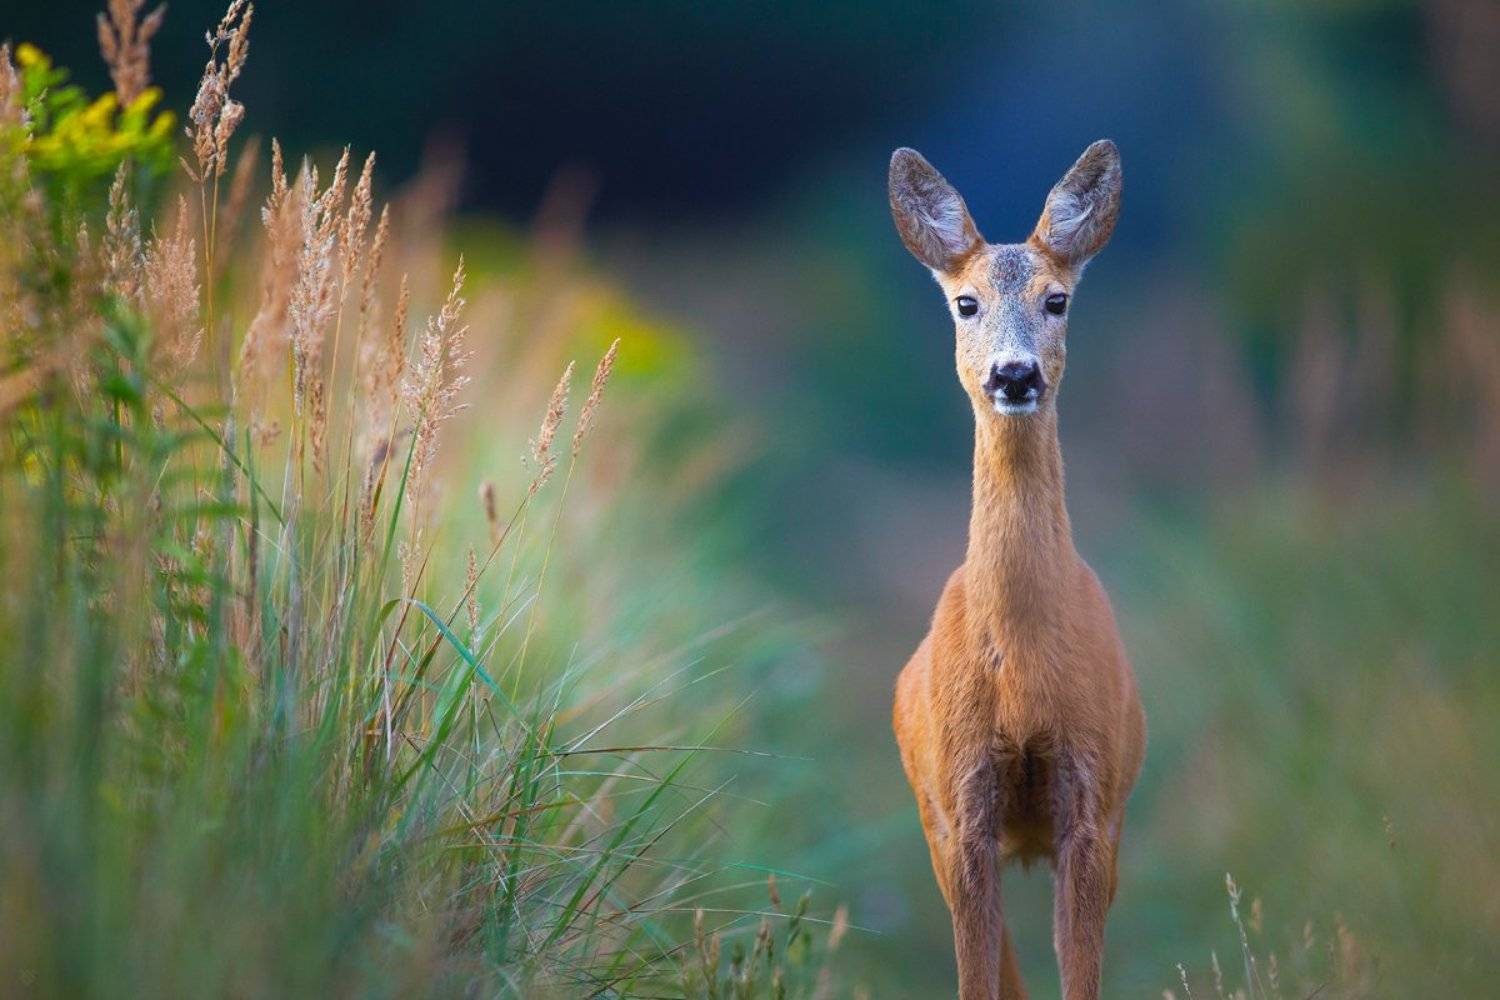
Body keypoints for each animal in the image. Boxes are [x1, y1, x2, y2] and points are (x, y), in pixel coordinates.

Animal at [888, 140, 1146, 1000]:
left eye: (1057, 299)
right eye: (965, 303)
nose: (1014, 374)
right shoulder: (962, 804)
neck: (1025, 679)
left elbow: (1081, 977)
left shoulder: (1093, 799)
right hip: (932, 811)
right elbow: (977, 977)